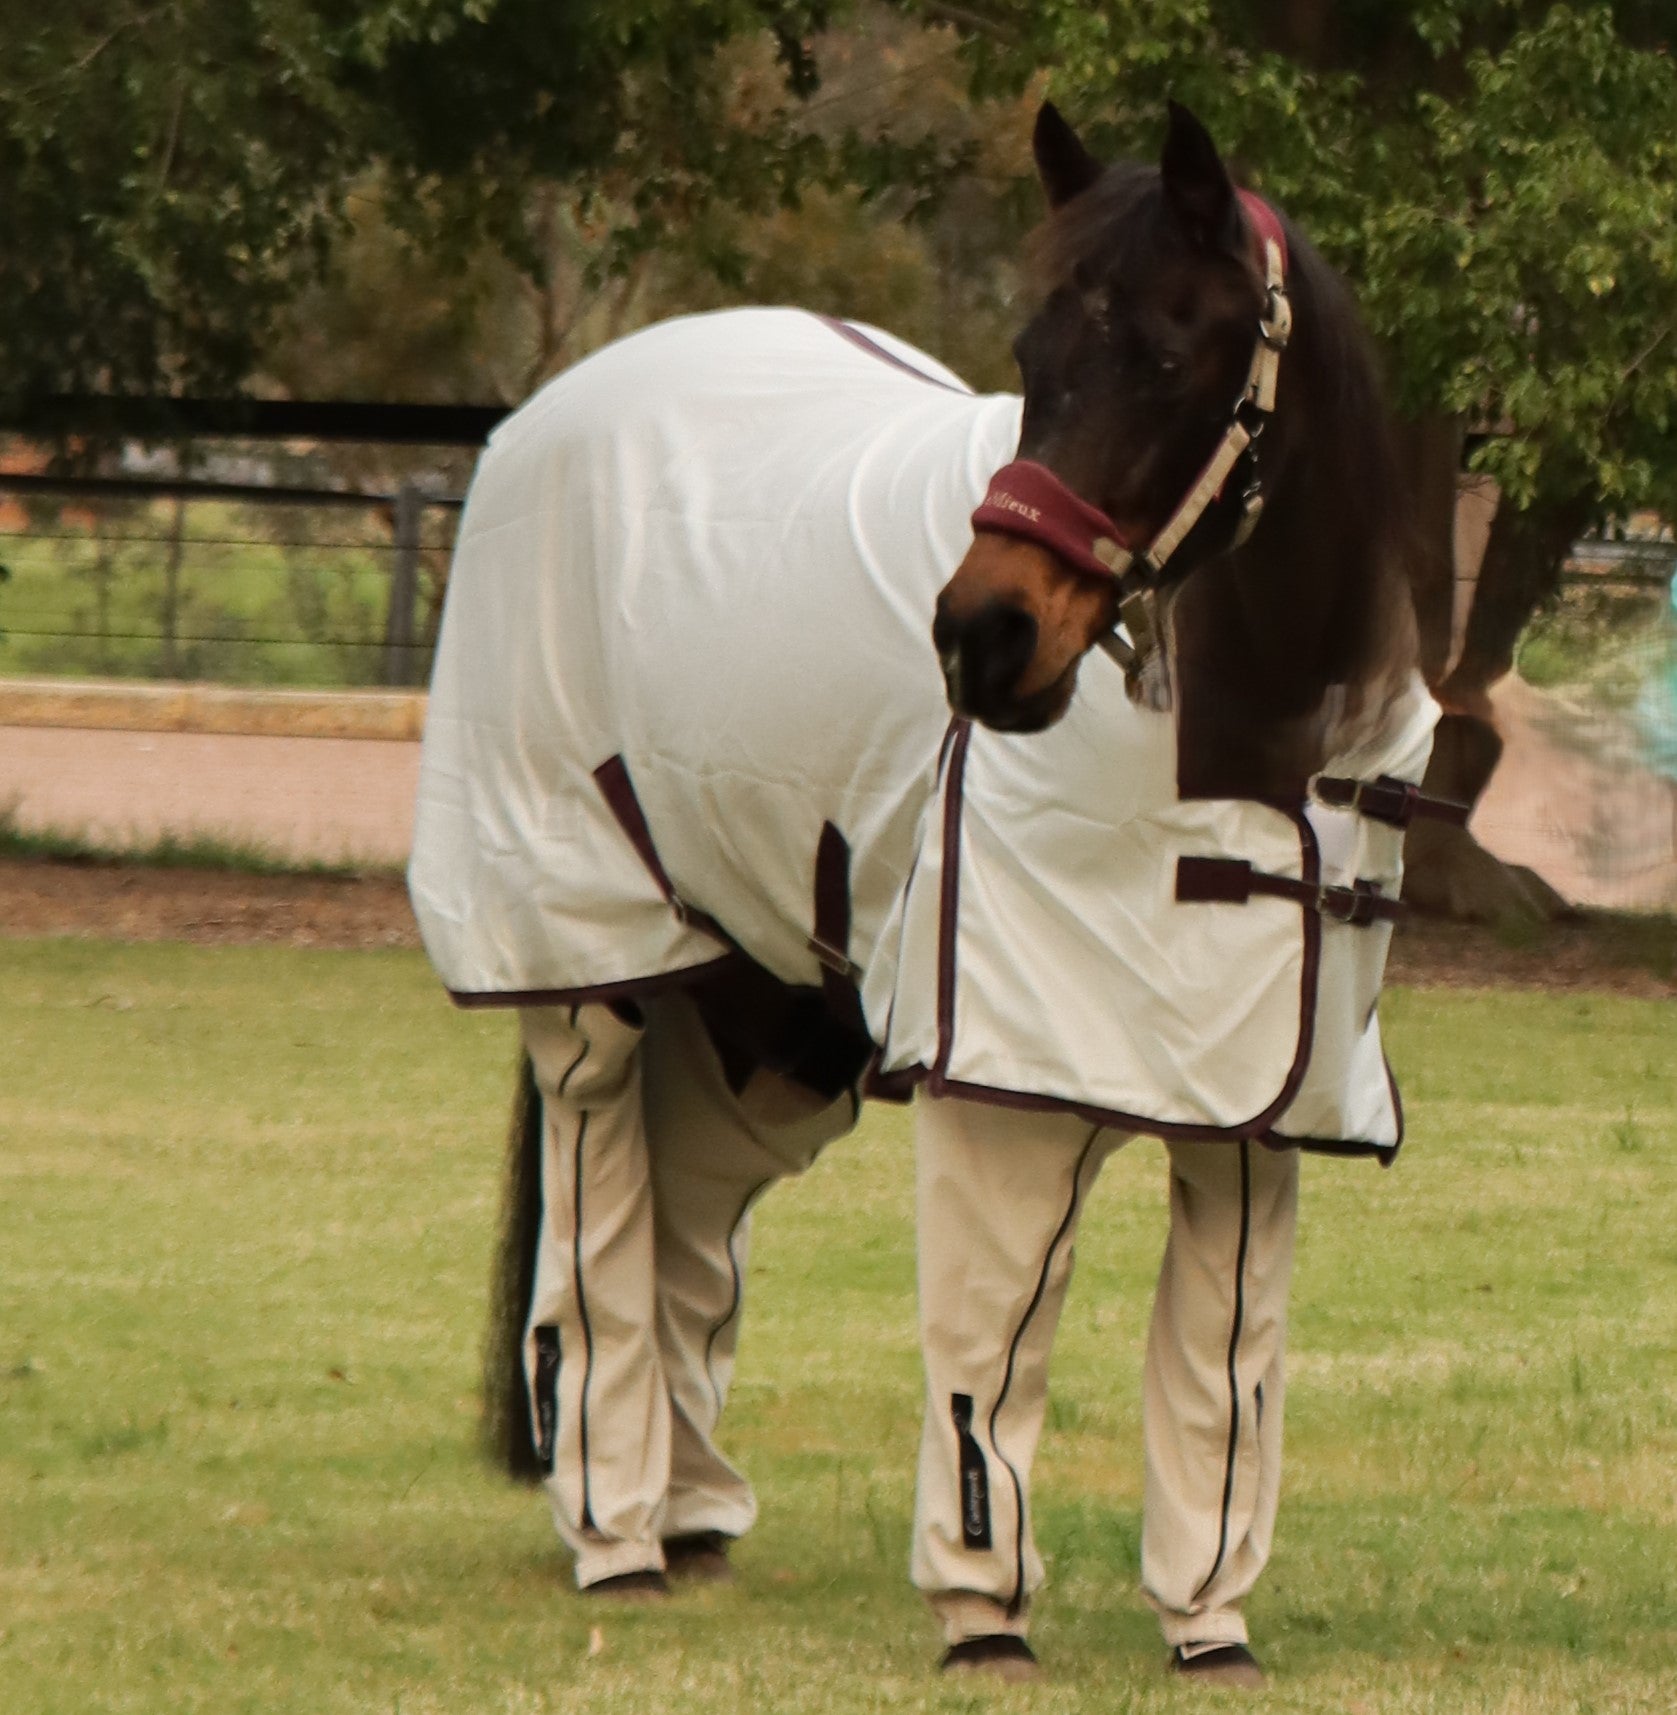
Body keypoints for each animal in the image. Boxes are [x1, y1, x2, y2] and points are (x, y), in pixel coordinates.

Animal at [408, 101, 1443, 1686]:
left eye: (1169, 356)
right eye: (1029, 352)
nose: (980, 637)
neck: (1245, 740)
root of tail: (543, 416)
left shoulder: (1253, 1110)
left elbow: (1225, 1379)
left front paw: (1210, 1627)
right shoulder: (1000, 1090)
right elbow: (987, 1350)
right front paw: (981, 1618)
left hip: (775, 1016)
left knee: (694, 1207)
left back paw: (695, 1518)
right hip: (589, 979)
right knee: (598, 1227)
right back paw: (618, 1533)